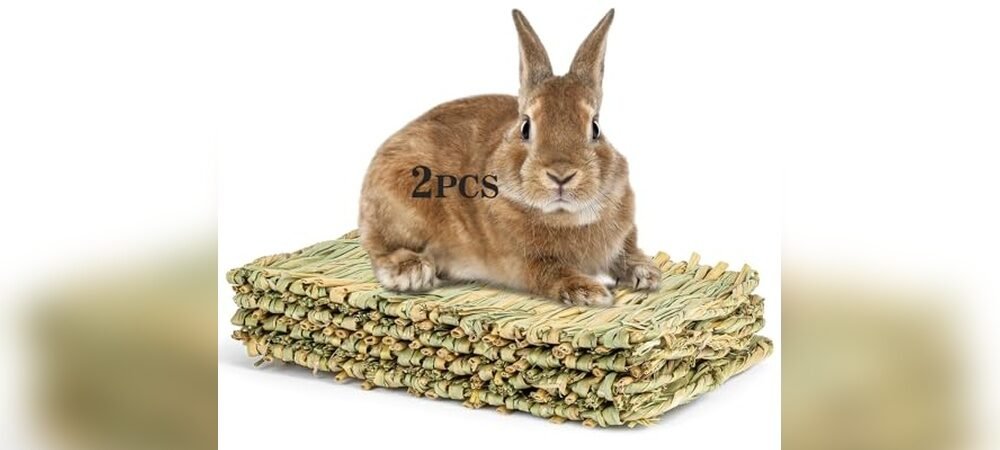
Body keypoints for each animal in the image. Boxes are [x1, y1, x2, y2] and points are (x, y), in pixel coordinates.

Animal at [358, 9, 661, 306]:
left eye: (595, 128)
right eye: (525, 126)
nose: (561, 175)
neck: (565, 216)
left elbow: (627, 251)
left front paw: (647, 272)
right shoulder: (523, 262)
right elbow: (550, 273)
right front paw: (590, 292)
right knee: (378, 248)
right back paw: (411, 272)